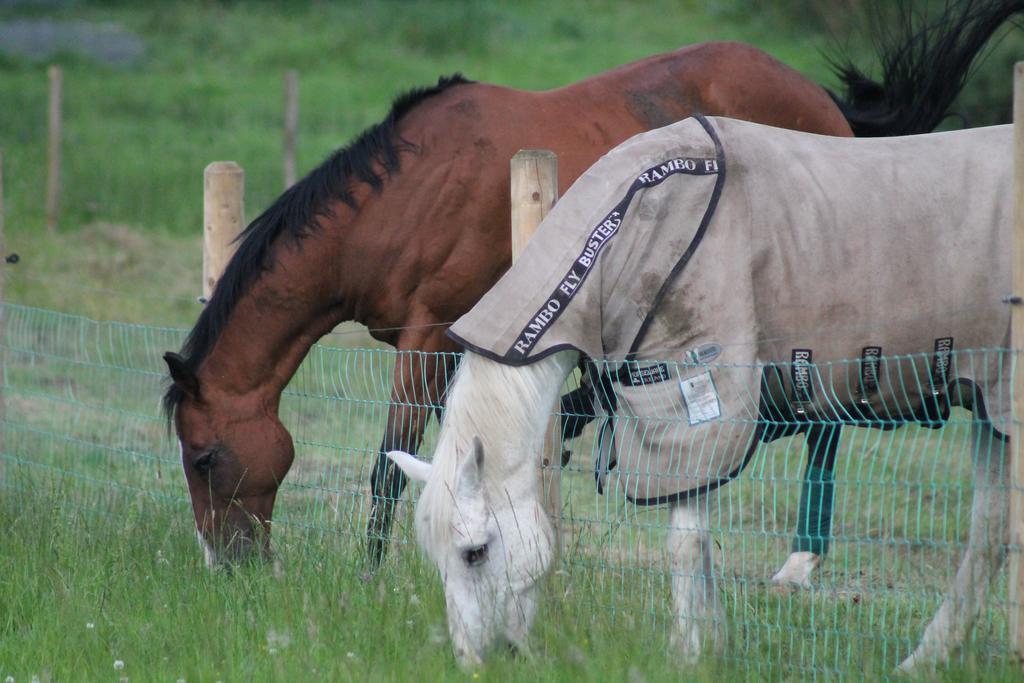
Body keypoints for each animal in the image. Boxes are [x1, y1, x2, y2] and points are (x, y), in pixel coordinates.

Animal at [163, 0, 1019, 569]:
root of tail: (827, 109)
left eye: (203, 457)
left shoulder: (427, 337)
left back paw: (800, 562)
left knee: (826, 416)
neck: (406, 196)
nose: (228, 566)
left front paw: (374, 577)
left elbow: (387, 467)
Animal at [387, 117, 1011, 671]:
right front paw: (711, 644)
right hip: (991, 410)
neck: (630, 228)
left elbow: (685, 544)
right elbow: (700, 543)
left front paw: (688, 654)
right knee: (991, 535)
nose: (474, 663)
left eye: (475, 552)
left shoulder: (693, 403)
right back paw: (928, 658)